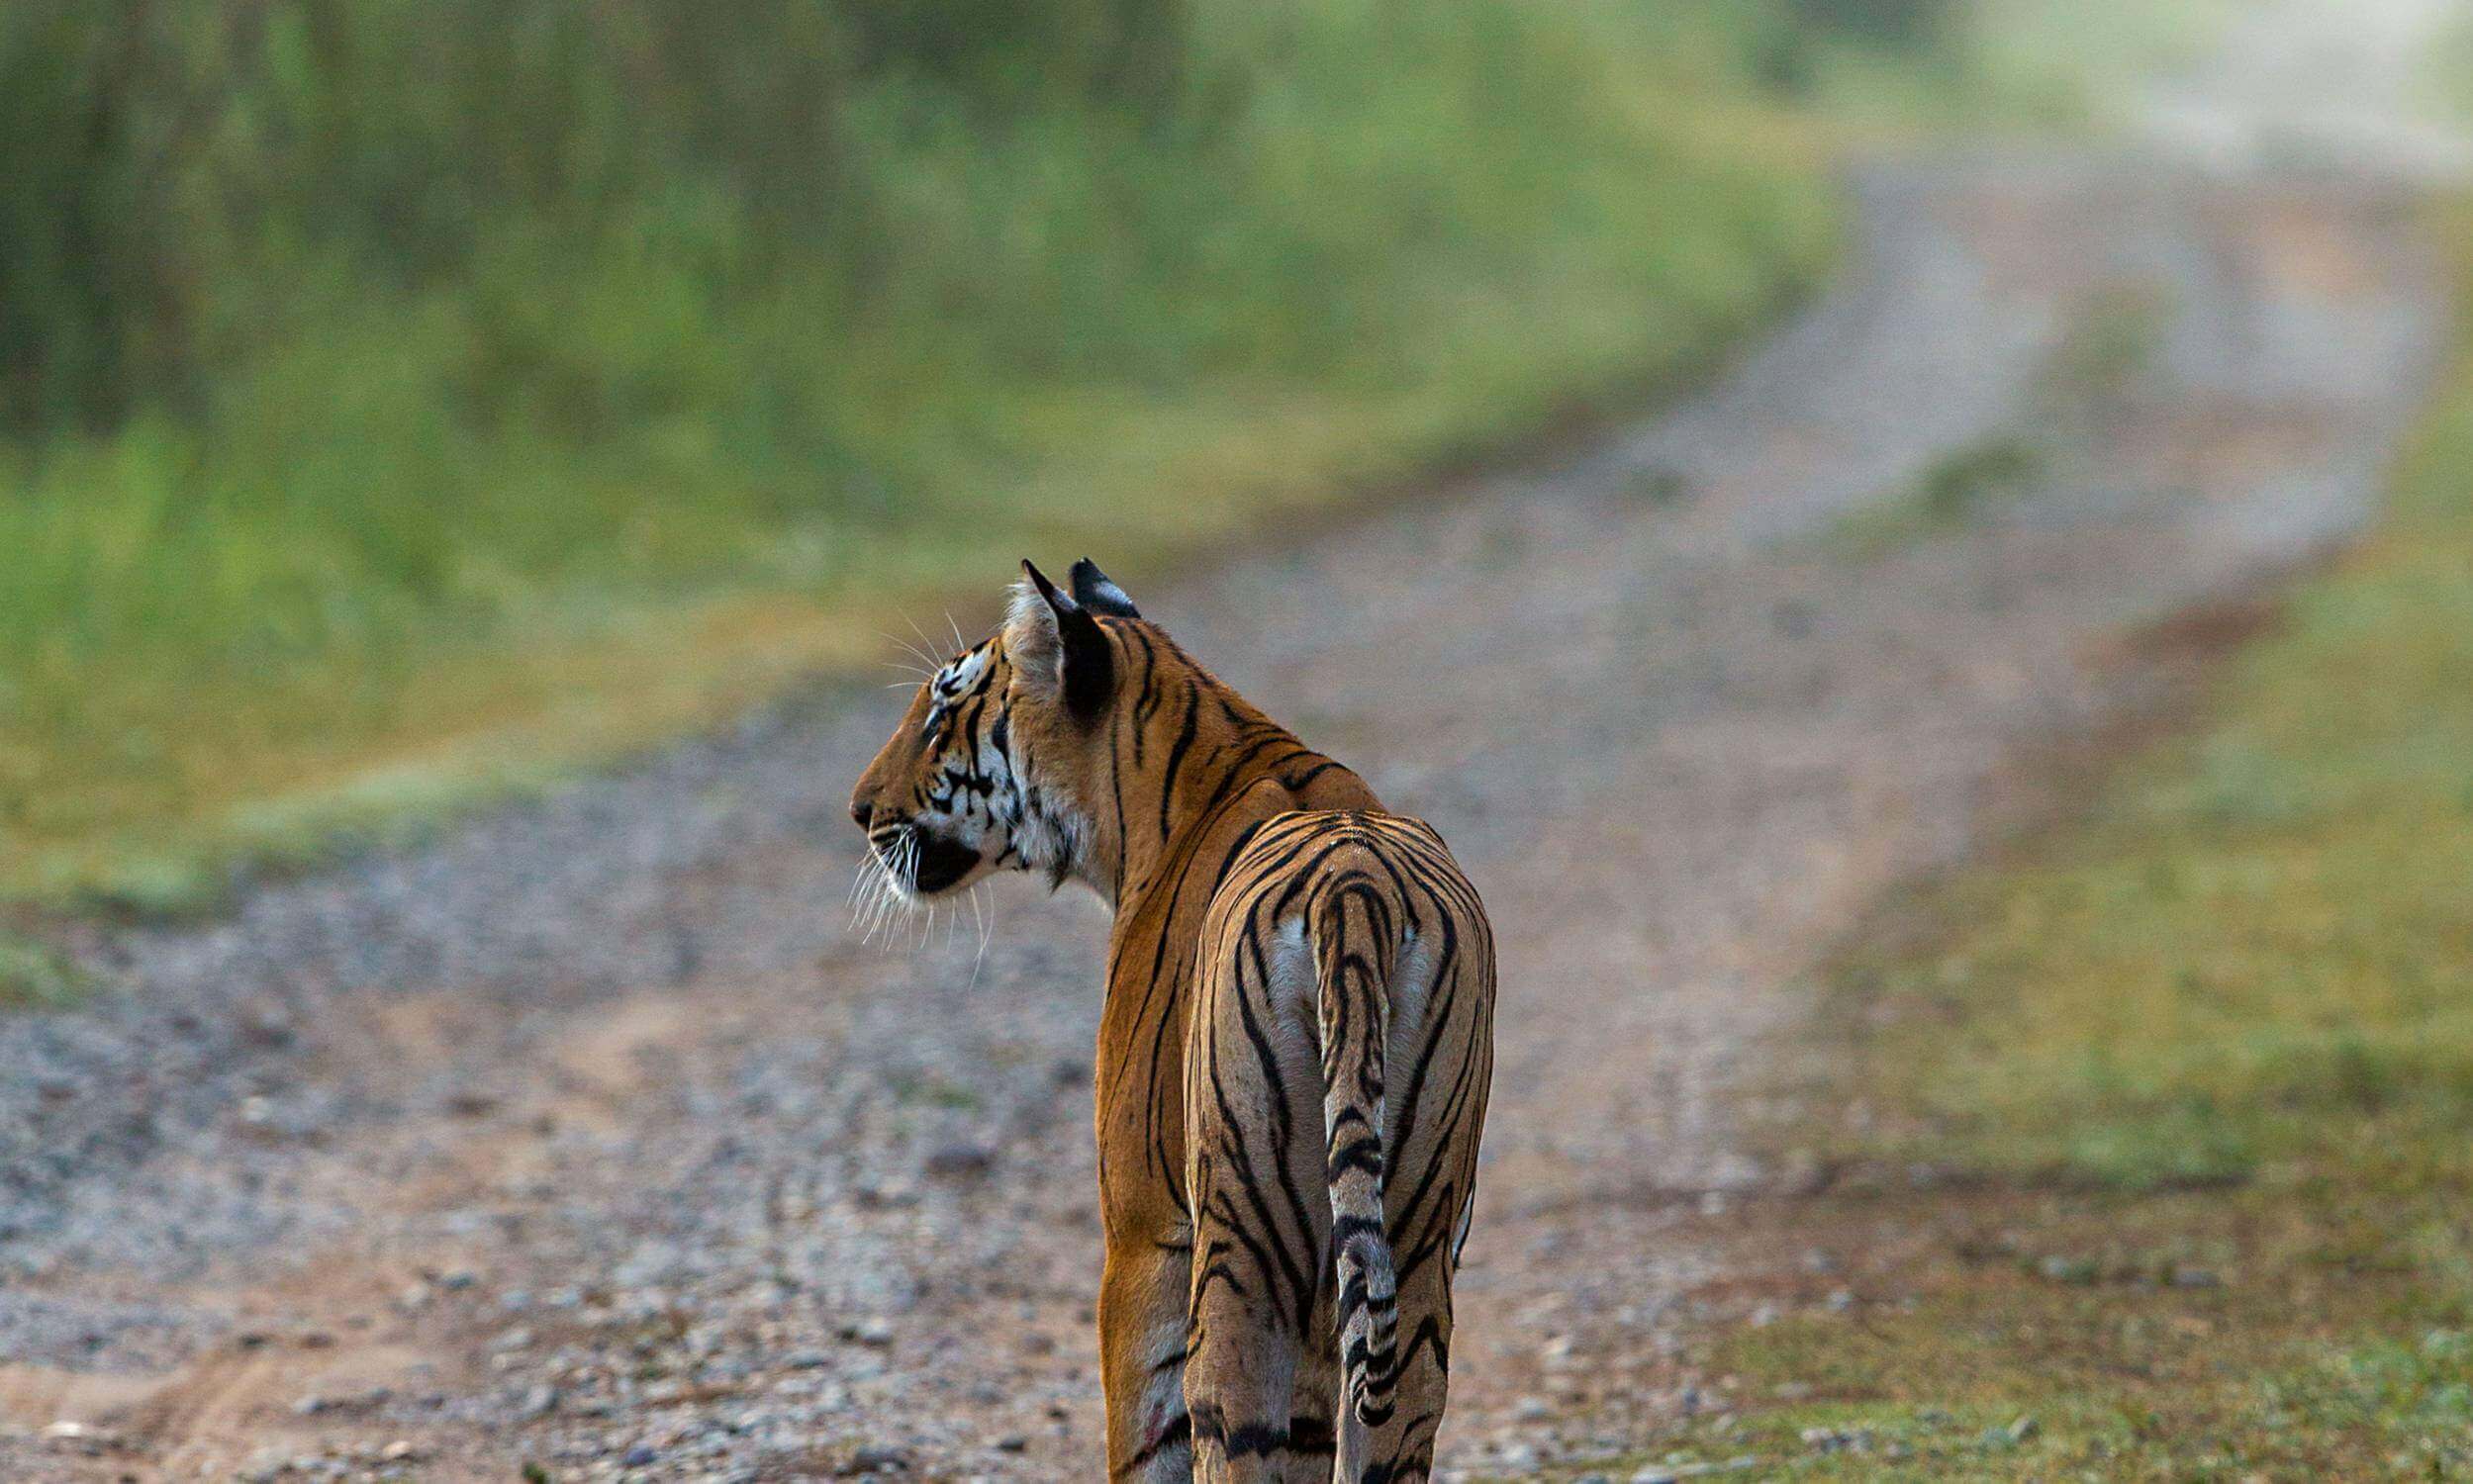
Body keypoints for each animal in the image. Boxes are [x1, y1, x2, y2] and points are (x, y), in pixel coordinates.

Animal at [850, 559, 1493, 1484]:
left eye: (941, 715)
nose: (859, 810)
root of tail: (1353, 889)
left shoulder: (1141, 1231)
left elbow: (1144, 1438)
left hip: (1241, 1244)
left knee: (1229, 1428)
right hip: (1411, 1236)